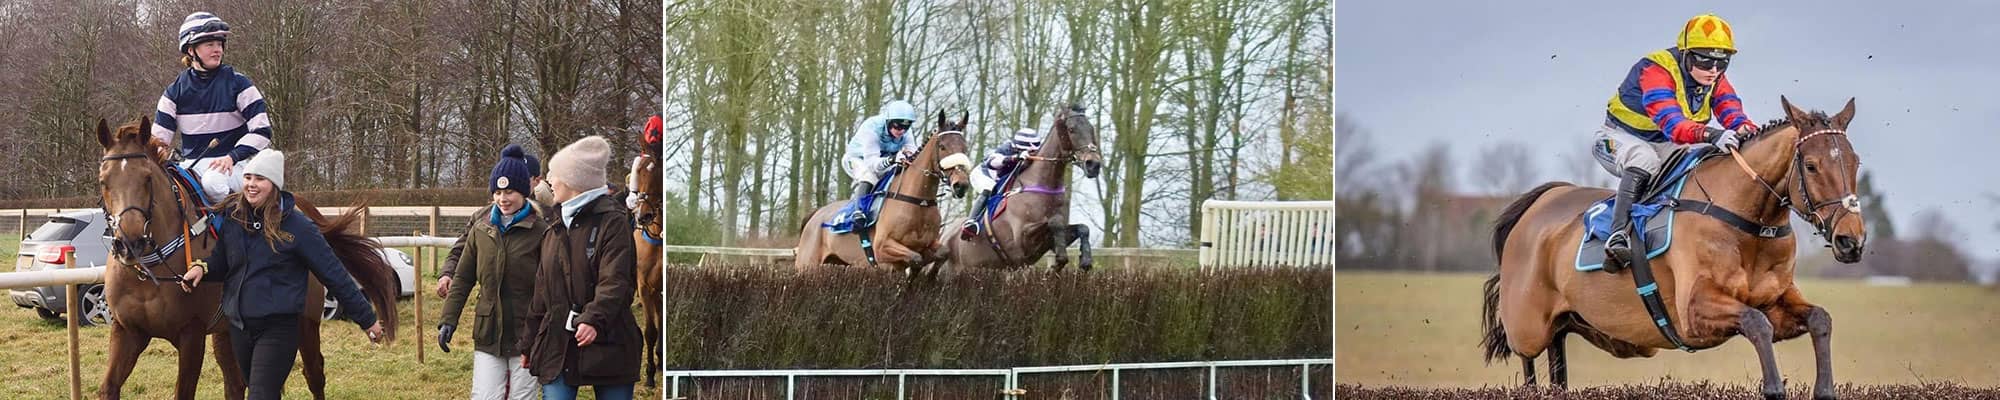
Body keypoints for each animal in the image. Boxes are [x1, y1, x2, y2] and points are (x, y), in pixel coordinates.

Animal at [95, 116, 400, 400]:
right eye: (103, 181)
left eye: (147, 178)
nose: (130, 243)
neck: (151, 271)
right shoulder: (127, 330)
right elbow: (108, 387)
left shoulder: (192, 334)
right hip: (228, 331)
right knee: (236, 382)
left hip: (306, 321)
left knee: (314, 374)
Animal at [800, 111, 980, 276]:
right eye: (942, 146)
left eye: (964, 148)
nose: (961, 185)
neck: (918, 201)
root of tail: (816, 214)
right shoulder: (882, 248)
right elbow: (915, 258)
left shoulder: (930, 243)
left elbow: (942, 253)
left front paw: (929, 276)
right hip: (808, 264)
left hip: (839, 262)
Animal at [936, 104, 1112, 272]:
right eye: (1071, 129)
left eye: (1091, 129)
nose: (1093, 164)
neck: (1041, 184)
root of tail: (943, 237)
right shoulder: (1021, 240)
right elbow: (1054, 222)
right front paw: (1058, 263)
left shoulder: (1047, 242)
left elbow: (1082, 228)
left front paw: (1084, 260)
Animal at [1488, 97, 1856, 400]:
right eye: (1811, 165)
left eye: (1855, 163)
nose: (1851, 240)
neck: (1747, 222)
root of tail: (1541, 200)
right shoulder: (1694, 311)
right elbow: (1756, 324)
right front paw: (1774, 388)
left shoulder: (1774, 302)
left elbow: (1819, 319)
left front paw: (1824, 389)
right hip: (1528, 326)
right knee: (1528, 367)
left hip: (1565, 322)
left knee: (1557, 366)